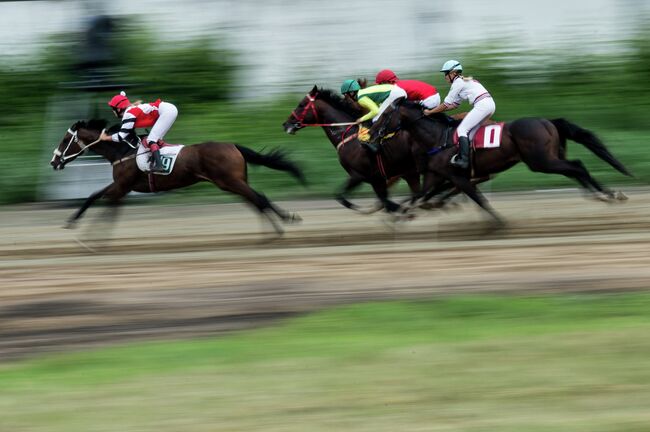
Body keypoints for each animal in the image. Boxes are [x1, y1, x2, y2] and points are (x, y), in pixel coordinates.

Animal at [50, 120, 304, 235]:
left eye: (65, 140)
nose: (54, 162)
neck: (122, 151)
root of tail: (234, 146)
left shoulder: (122, 186)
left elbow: (104, 203)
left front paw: (91, 238)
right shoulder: (121, 186)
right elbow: (93, 197)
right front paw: (72, 221)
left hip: (230, 182)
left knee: (259, 199)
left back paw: (279, 228)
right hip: (233, 182)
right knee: (257, 200)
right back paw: (278, 224)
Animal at [282, 85, 420, 213]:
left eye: (301, 104)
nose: (285, 124)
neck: (348, 135)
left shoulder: (359, 176)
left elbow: (342, 197)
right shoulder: (377, 179)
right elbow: (384, 200)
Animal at [370, 98, 628, 223]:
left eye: (386, 114)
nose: (371, 134)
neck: (437, 137)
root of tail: (548, 122)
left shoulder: (457, 177)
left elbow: (479, 200)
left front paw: (498, 223)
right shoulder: (437, 175)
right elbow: (419, 196)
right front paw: (400, 215)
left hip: (541, 161)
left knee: (577, 167)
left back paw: (606, 195)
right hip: (548, 158)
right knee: (574, 169)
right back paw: (605, 195)